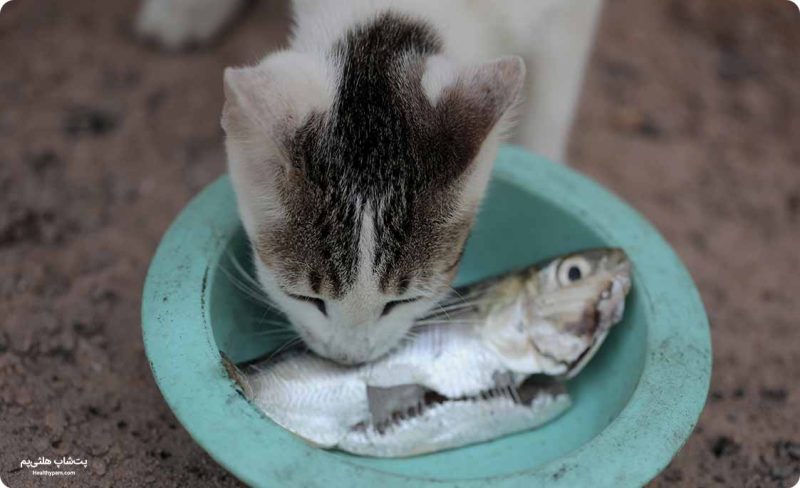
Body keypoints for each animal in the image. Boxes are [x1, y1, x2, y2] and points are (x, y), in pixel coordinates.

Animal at [138, 0, 604, 364]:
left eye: (404, 301)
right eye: (306, 299)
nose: (350, 357)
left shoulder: (568, 16)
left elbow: (551, 105)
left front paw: (546, 162)